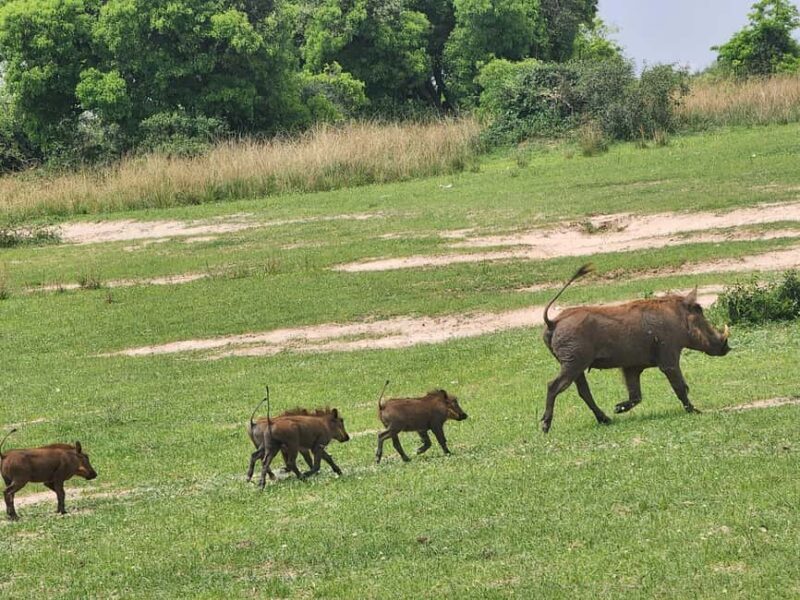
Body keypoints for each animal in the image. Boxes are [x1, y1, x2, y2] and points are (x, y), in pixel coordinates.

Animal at [540, 264, 730, 433]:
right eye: (699, 313)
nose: (726, 347)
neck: (678, 319)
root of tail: (553, 321)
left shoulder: (632, 368)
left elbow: (636, 396)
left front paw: (618, 408)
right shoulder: (669, 359)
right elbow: (680, 387)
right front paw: (695, 411)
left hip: (576, 366)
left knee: (583, 392)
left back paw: (606, 419)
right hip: (573, 363)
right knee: (553, 386)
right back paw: (545, 426)